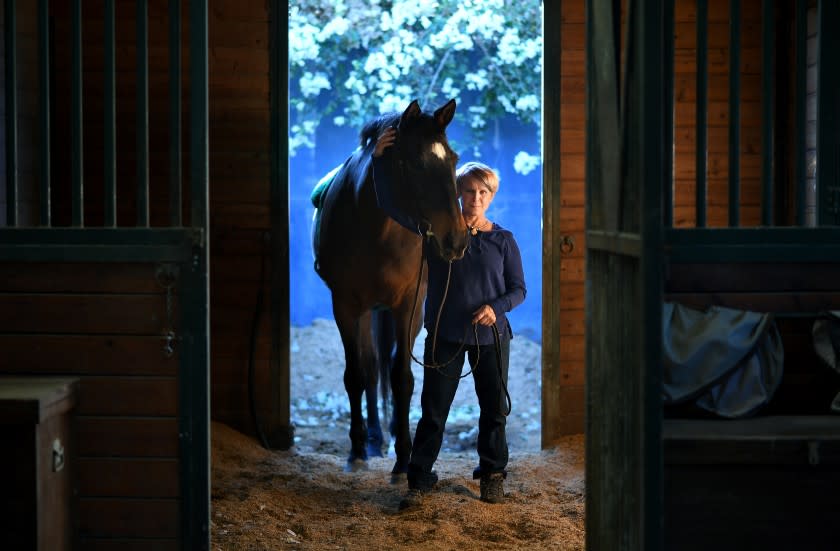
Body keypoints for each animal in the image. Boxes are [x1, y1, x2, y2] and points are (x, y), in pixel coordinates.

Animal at [310, 99, 470, 478]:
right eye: (414, 163)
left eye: (453, 158)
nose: (456, 240)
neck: (376, 230)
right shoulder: (346, 306)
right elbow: (357, 374)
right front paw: (357, 450)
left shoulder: (409, 306)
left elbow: (402, 378)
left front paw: (403, 457)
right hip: (367, 312)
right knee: (370, 370)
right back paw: (373, 439)